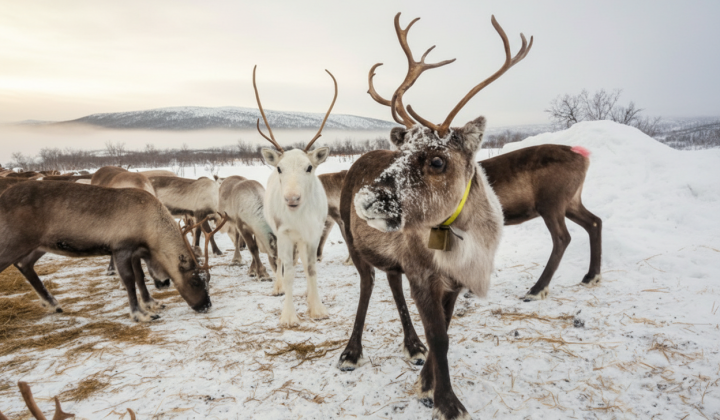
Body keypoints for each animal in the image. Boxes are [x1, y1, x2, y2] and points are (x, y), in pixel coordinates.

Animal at [0, 181, 217, 322]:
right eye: (195, 281)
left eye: (208, 279)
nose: (206, 305)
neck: (151, 229)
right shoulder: (121, 248)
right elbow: (130, 280)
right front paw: (141, 314)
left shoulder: (135, 252)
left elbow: (140, 277)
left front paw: (151, 303)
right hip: (14, 242)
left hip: (39, 244)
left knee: (24, 263)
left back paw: (53, 303)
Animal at [254, 65, 336, 327]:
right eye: (280, 168)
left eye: (309, 167)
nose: (292, 199)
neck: (299, 216)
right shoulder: (285, 234)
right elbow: (288, 271)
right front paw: (289, 316)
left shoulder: (312, 234)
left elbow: (311, 268)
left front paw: (317, 308)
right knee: (281, 262)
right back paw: (278, 287)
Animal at [335, 13, 531, 420]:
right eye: (401, 153)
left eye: (438, 160)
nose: (366, 199)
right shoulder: (424, 275)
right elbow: (439, 337)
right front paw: (447, 402)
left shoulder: (454, 281)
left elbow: (446, 330)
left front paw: (426, 382)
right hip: (353, 243)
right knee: (367, 284)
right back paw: (351, 352)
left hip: (395, 260)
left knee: (392, 283)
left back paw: (411, 345)